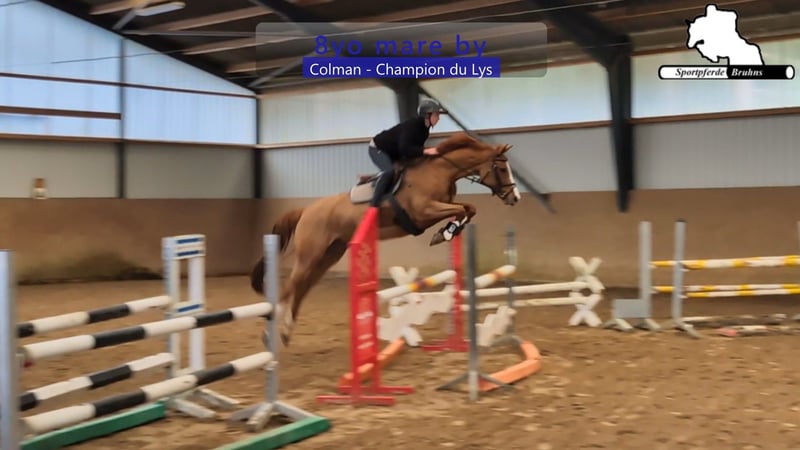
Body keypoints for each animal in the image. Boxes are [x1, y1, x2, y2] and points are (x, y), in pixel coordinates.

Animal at [250, 131, 521, 346]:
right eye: (501, 168)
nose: (515, 197)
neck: (440, 171)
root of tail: (305, 211)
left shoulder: (439, 208)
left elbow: (468, 208)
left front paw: (447, 232)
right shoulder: (424, 212)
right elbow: (462, 209)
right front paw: (444, 232)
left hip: (329, 255)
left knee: (302, 288)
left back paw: (286, 331)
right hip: (311, 254)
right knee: (290, 287)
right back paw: (273, 332)